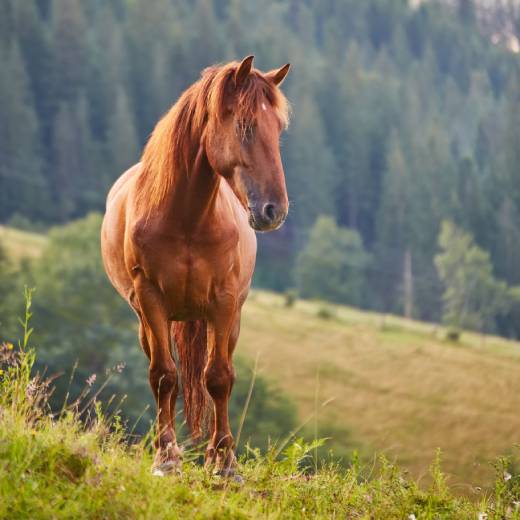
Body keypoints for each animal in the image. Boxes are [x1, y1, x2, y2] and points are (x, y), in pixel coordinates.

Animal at [99, 55, 290, 476]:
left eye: (279, 130)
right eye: (245, 126)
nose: (275, 210)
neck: (186, 218)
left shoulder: (224, 301)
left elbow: (218, 378)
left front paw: (225, 462)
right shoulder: (151, 299)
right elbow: (163, 376)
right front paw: (166, 457)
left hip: (229, 321)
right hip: (149, 321)